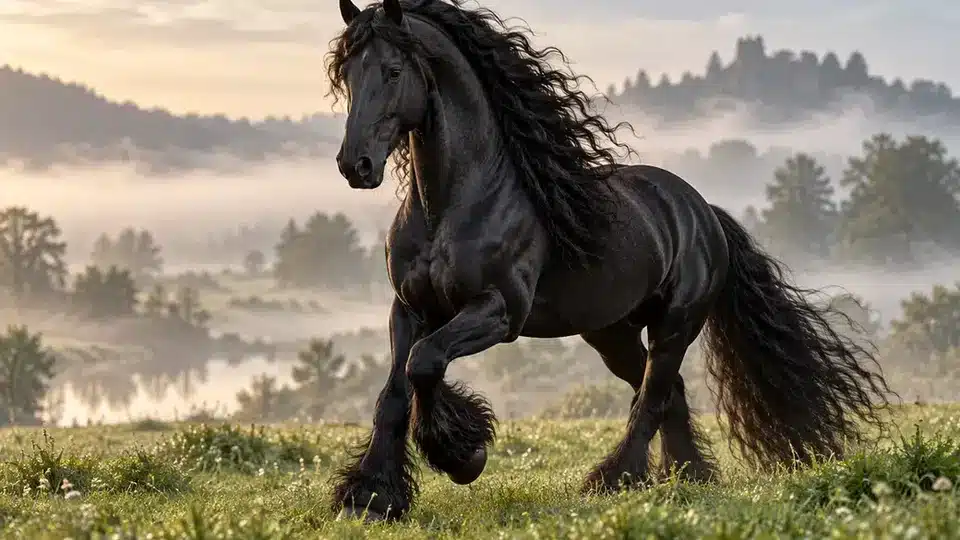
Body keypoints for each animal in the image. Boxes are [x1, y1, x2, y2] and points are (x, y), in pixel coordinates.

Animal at [325, 0, 892, 522]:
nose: (356, 166)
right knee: (666, 390)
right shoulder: (410, 308)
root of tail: (702, 211)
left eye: (392, 70)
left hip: (675, 324)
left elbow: (425, 364)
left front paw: (465, 456)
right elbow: (395, 393)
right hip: (612, 334)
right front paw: (370, 497)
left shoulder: (499, 311)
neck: (455, 203)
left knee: (654, 395)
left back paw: (616, 480)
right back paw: (687, 477)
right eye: (347, 75)